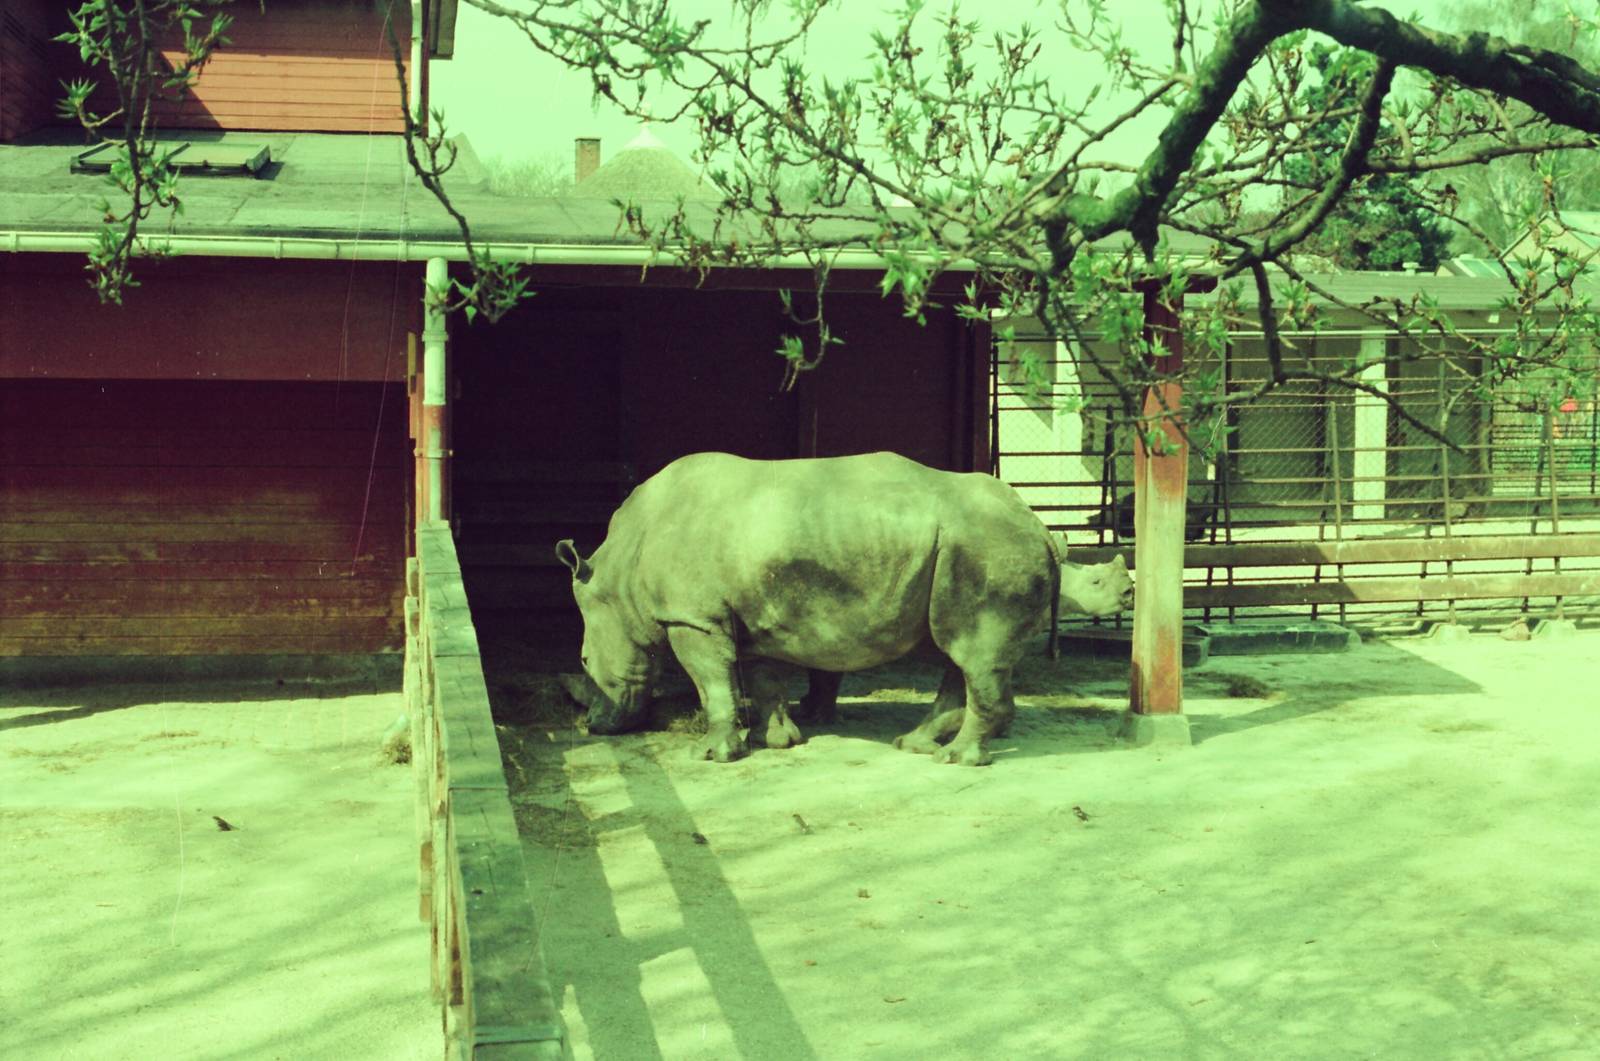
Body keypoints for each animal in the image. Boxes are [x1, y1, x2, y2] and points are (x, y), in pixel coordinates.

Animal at [556, 451, 1133, 767]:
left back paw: (953, 759)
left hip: (987, 547)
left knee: (974, 654)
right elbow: (762, 677)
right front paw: (778, 740)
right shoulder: (753, 613)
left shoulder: (692, 616)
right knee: (961, 656)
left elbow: (712, 681)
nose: (595, 727)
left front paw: (713, 754)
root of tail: (1037, 524)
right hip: (973, 549)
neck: (618, 571)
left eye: (584, 661)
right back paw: (913, 744)